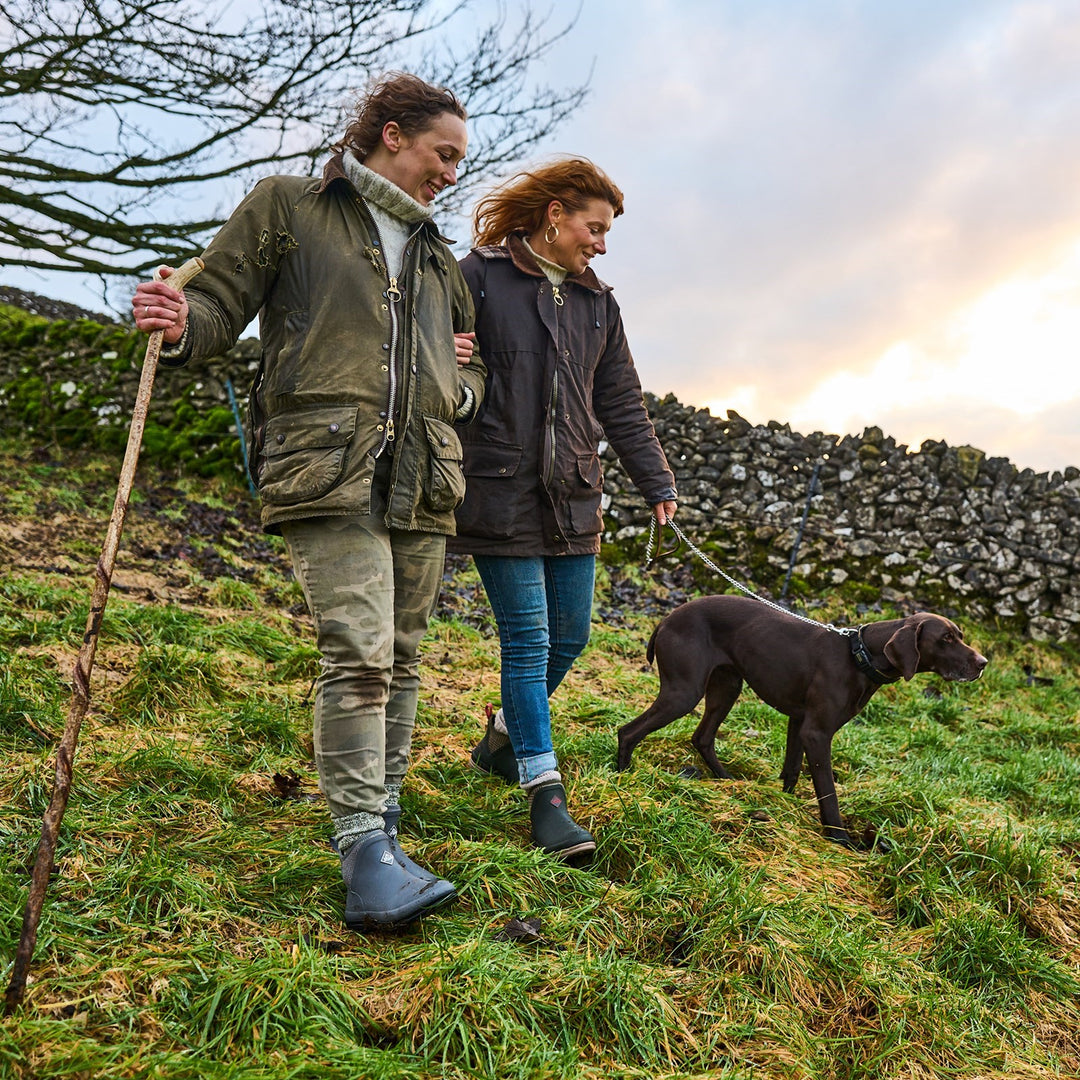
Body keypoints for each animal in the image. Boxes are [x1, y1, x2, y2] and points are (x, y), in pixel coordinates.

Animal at [617, 596, 989, 846]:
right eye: (945, 639)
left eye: (959, 635)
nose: (983, 663)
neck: (860, 655)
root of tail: (667, 619)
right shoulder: (817, 733)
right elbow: (828, 792)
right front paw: (841, 839)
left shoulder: (798, 723)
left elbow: (792, 771)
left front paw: (786, 805)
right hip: (683, 691)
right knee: (628, 731)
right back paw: (622, 776)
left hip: (726, 686)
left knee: (702, 737)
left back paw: (726, 781)